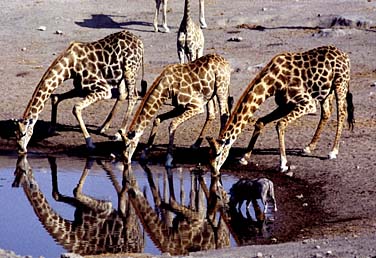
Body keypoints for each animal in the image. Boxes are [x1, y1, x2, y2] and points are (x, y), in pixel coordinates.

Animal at [11, 155, 144, 256]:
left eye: (27, 169)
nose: (28, 168)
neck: (74, 234)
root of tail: (142, 245)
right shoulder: (81, 210)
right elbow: (56, 195)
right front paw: (52, 161)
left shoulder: (105, 208)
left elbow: (76, 191)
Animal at [13, 31, 146, 154]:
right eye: (15, 133)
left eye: (24, 133)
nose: (21, 150)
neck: (69, 66)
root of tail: (140, 42)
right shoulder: (80, 87)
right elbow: (55, 97)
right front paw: (51, 128)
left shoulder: (104, 89)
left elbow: (76, 108)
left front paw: (90, 144)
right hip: (120, 75)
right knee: (123, 94)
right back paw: (103, 128)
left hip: (130, 70)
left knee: (133, 96)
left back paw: (118, 133)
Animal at [207, 45, 354, 174]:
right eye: (209, 156)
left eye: (218, 154)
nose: (214, 172)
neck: (272, 82)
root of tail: (345, 56)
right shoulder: (285, 104)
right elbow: (260, 122)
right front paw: (245, 158)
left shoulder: (308, 103)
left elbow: (280, 124)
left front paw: (283, 164)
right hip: (326, 91)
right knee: (327, 113)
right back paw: (308, 147)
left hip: (340, 84)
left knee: (341, 113)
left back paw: (333, 151)